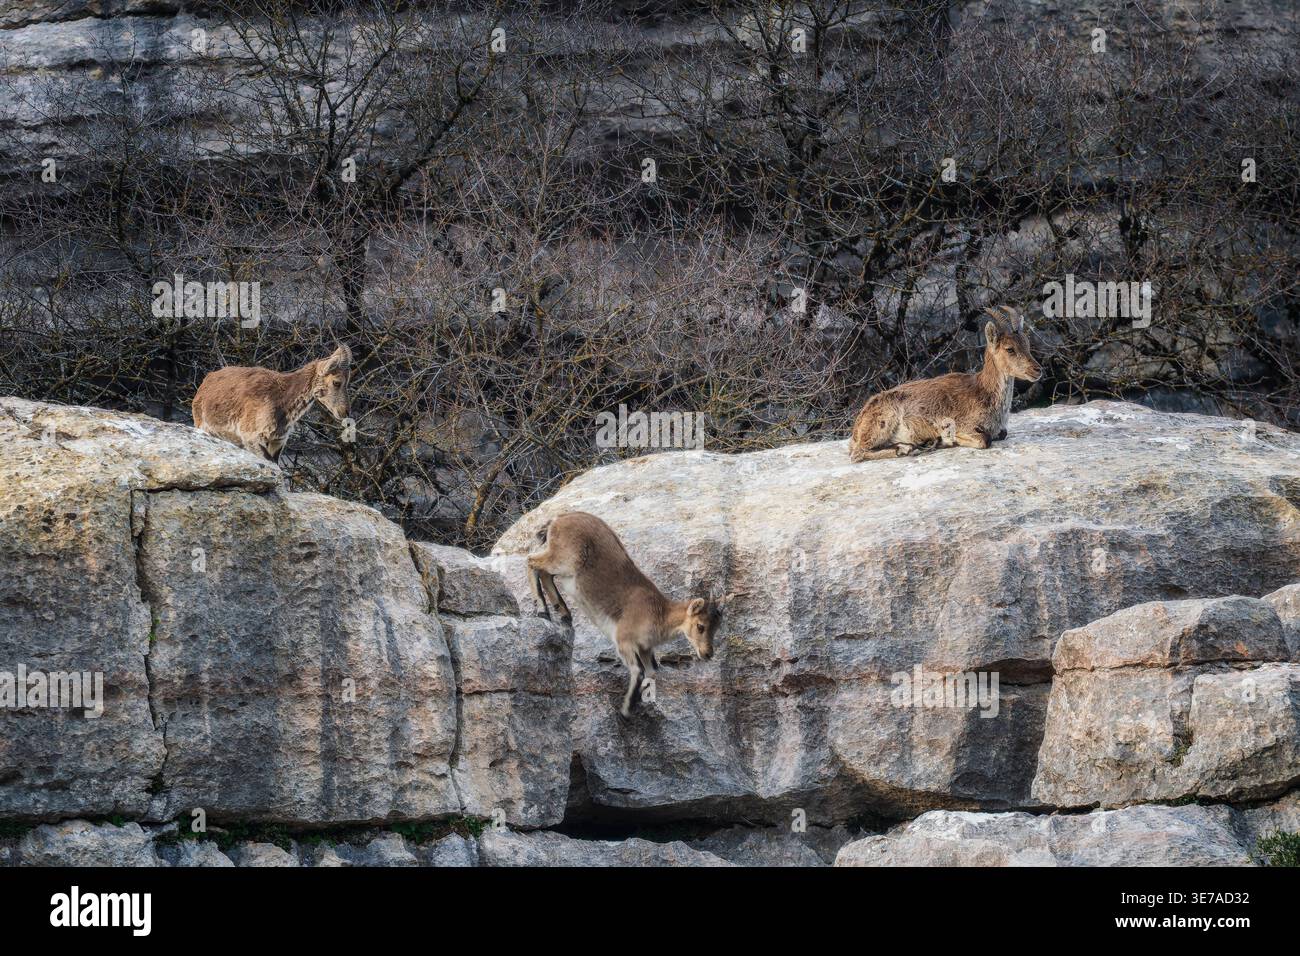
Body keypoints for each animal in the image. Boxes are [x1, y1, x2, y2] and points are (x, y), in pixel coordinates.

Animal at [191, 345, 352, 463]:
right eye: (336, 382)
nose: (345, 411)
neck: (282, 399)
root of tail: (204, 383)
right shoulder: (251, 437)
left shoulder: (277, 442)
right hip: (203, 427)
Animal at [526, 511, 725, 717]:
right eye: (700, 625)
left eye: (717, 627)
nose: (707, 653)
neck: (658, 614)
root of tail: (558, 519)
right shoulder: (623, 640)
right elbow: (638, 671)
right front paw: (626, 708)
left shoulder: (645, 648)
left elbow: (651, 672)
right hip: (563, 558)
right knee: (533, 561)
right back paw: (542, 610)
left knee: (545, 573)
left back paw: (563, 613)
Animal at [848, 306, 1041, 462]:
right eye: (1010, 349)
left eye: (1027, 344)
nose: (1037, 370)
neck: (984, 391)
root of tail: (858, 426)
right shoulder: (964, 424)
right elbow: (984, 439)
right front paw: (946, 439)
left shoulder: (1000, 429)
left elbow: (1002, 433)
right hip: (883, 421)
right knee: (858, 453)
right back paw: (908, 448)